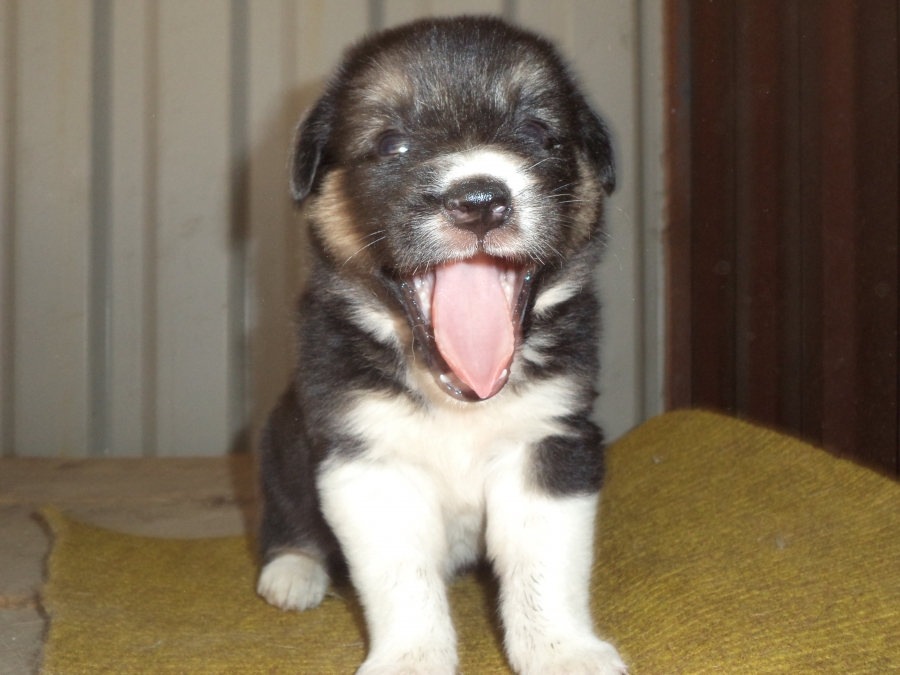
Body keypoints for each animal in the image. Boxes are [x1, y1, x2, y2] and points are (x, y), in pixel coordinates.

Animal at [256, 16, 626, 675]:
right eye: (391, 144)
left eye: (538, 131)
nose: (479, 201)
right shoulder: (366, 459)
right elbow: (401, 579)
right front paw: (411, 658)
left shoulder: (553, 442)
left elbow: (544, 567)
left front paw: (563, 651)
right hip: (279, 438)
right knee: (287, 516)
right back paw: (293, 572)